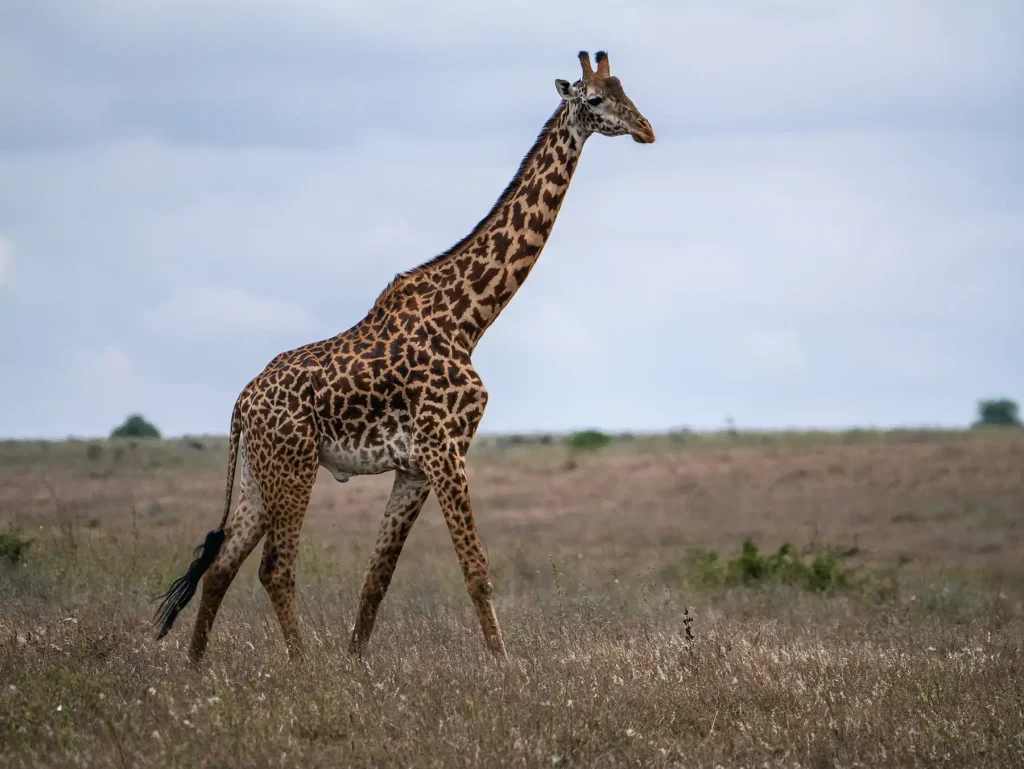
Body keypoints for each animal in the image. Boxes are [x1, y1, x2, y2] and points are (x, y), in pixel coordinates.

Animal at [154, 49, 655, 663]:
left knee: (221, 566)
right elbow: (476, 571)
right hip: (294, 464)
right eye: (596, 98)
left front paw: (356, 662)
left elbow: (377, 578)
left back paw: (196, 669)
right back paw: (301, 667)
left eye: (627, 90)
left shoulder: (416, 465)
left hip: (256, 472)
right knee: (273, 568)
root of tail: (241, 404)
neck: (469, 319)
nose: (646, 129)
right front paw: (505, 666)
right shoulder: (445, 449)